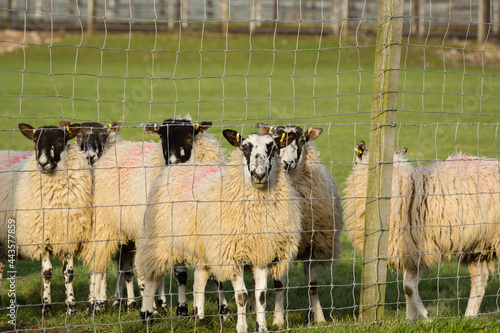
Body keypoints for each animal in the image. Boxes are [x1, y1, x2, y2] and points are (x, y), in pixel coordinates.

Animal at [135, 128, 302, 330]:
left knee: (199, 277)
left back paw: (198, 315)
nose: (259, 175)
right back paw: (147, 315)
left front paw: (262, 328)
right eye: (244, 148)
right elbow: (242, 296)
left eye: (274, 148)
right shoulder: (232, 254)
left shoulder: (262, 252)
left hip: (202, 246)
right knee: (151, 275)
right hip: (158, 240)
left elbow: (260, 296)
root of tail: (178, 166)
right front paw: (242, 328)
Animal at [258, 122, 344, 326]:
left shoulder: (312, 246)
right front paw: (278, 320)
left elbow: (312, 286)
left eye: (303, 140)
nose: (287, 163)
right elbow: (279, 285)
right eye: (274, 141)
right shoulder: (280, 245)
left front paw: (319, 318)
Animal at [344, 141, 500, 320]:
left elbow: (409, 287)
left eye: (357, 160)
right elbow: (407, 288)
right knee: (480, 279)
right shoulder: (409, 252)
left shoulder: (419, 249)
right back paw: (469, 316)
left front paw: (425, 316)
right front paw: (411, 319)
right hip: (476, 246)